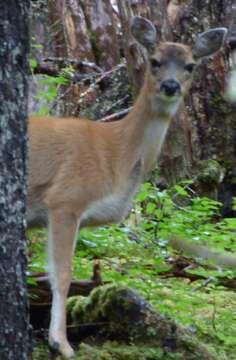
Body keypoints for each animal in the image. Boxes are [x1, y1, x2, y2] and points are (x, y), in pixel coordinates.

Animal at [26, 16, 228, 358]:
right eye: (155, 61)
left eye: (190, 65)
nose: (170, 86)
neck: (116, 153)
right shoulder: (66, 198)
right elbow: (62, 274)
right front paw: (61, 343)